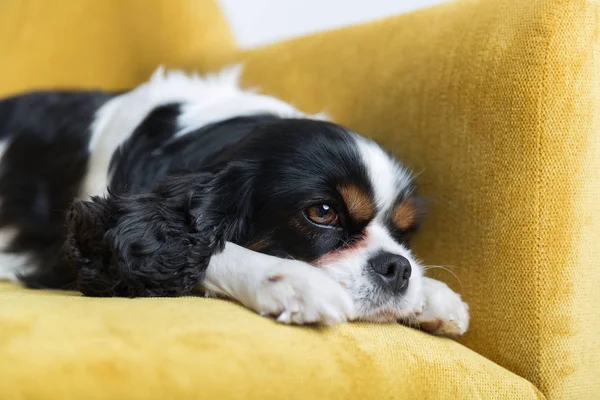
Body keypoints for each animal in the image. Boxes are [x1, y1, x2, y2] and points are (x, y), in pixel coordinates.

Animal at [0, 66, 468, 334]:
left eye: (404, 232)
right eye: (322, 213)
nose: (397, 268)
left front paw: (432, 293)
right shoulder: (86, 247)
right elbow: (200, 251)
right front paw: (291, 279)